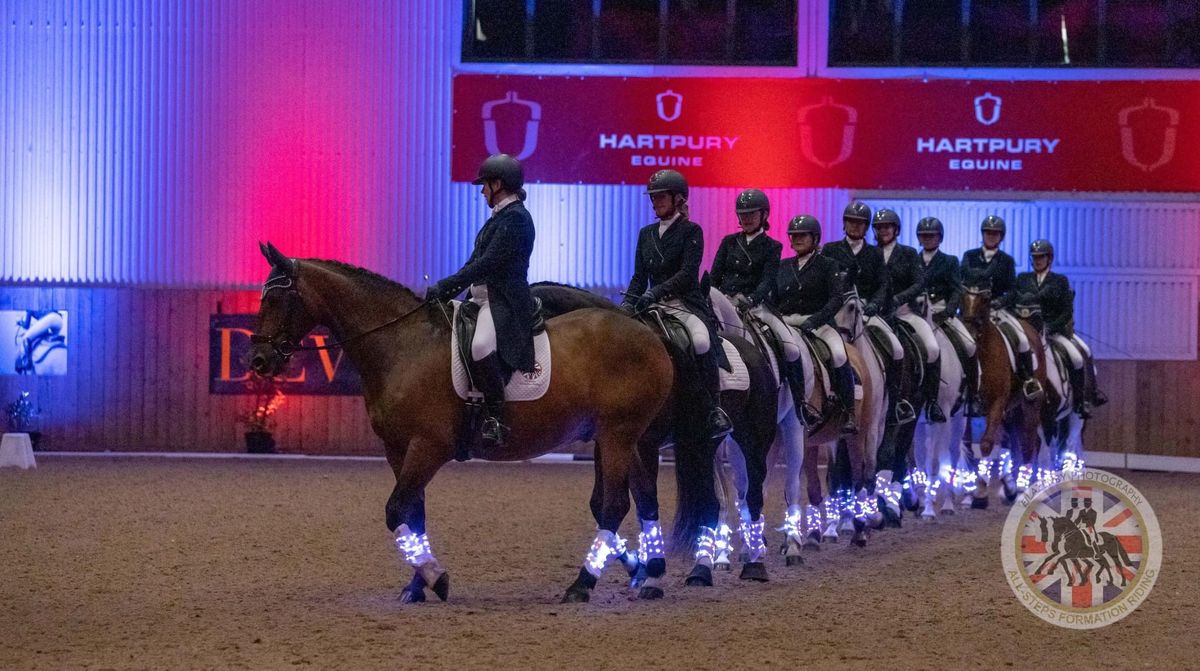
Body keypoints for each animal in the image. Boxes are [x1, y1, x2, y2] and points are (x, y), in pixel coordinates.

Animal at [246, 243, 676, 607]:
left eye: (276, 298)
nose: (259, 361)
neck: (402, 345)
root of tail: (646, 331)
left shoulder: (429, 446)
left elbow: (395, 510)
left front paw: (435, 578)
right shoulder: (398, 449)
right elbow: (413, 514)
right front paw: (416, 585)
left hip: (618, 434)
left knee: (614, 505)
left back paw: (582, 585)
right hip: (623, 437)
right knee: (640, 499)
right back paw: (645, 572)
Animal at [532, 280, 777, 585]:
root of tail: (753, 351)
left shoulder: (639, 443)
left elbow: (642, 503)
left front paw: (648, 569)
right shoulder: (612, 442)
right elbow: (607, 504)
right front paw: (641, 567)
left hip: (754, 438)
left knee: (752, 495)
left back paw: (751, 565)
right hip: (702, 444)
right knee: (711, 502)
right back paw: (703, 568)